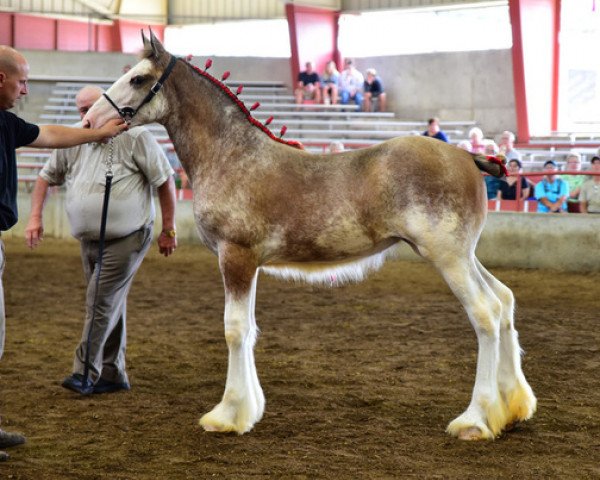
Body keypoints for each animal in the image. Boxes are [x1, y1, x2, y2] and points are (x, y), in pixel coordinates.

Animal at [83, 31, 536, 440]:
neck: (233, 156)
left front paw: (226, 415)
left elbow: (234, 329)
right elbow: (249, 329)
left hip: (449, 259)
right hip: (465, 257)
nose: (88, 121)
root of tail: (468, 156)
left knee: (485, 314)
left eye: (138, 78)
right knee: (504, 301)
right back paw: (511, 410)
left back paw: (475, 420)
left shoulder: (236, 257)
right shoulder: (250, 265)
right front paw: (249, 409)